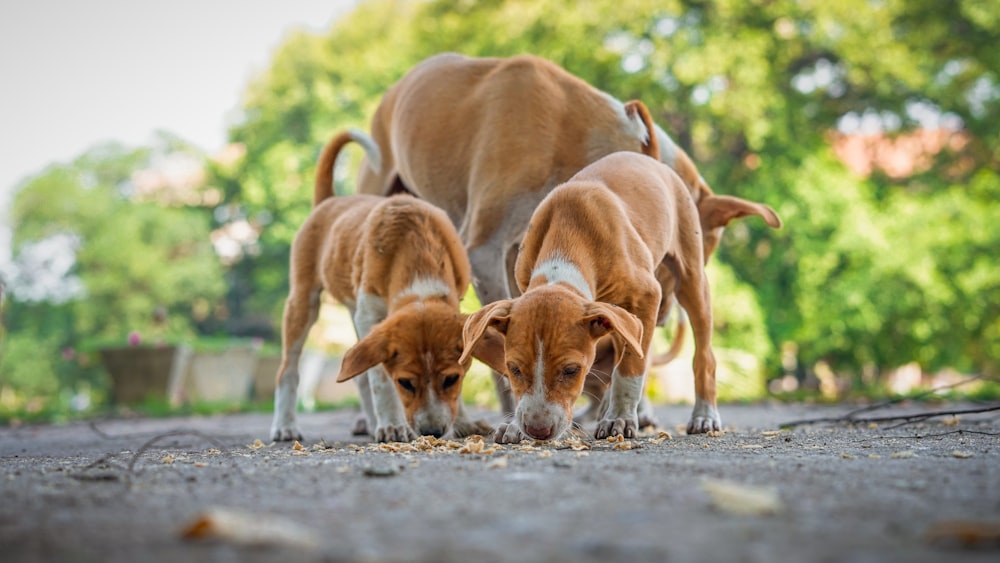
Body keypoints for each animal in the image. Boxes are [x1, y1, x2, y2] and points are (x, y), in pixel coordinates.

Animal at [458, 152, 780, 442]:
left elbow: (631, 367)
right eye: (514, 368)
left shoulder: (648, 296)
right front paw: (513, 425)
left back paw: (704, 415)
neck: (566, 242)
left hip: (691, 279)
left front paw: (620, 418)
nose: (538, 431)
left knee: (704, 355)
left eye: (572, 370)